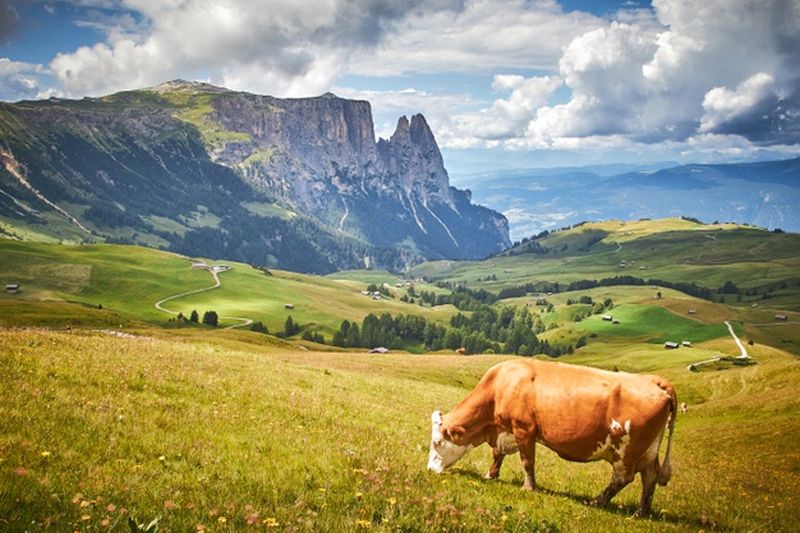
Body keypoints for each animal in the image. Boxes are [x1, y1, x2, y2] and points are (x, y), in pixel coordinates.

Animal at [427, 359, 676, 516]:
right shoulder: (504, 431)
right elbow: (497, 455)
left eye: (437, 443)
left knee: (623, 478)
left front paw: (528, 488)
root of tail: (656, 381)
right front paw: (491, 475)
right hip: (648, 450)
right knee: (649, 477)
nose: (430, 469)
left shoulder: (524, 429)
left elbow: (527, 461)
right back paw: (641, 512)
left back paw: (596, 502)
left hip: (627, 450)